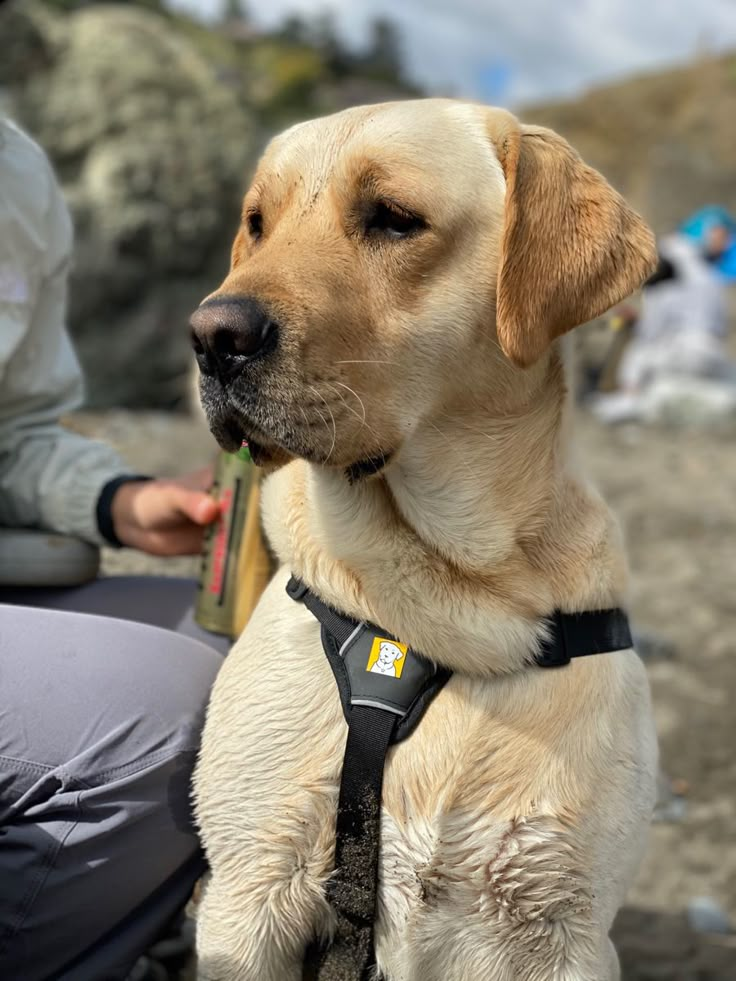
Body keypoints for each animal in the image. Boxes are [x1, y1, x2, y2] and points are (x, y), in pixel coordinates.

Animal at [188, 101, 656, 980]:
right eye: (258, 223)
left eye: (393, 218)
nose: (210, 335)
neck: (448, 607)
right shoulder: (246, 896)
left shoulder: (564, 929)